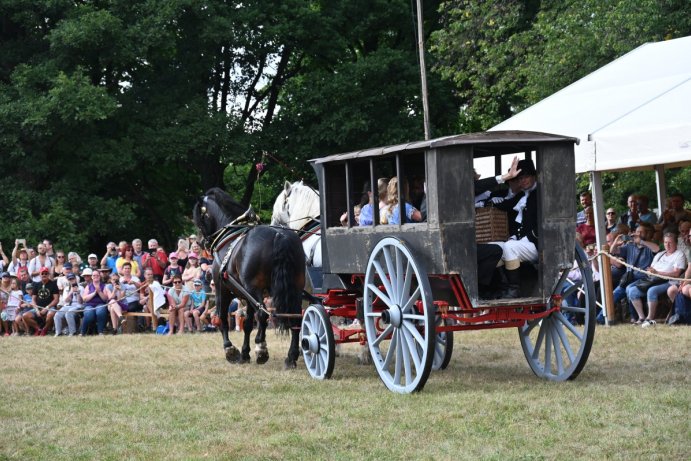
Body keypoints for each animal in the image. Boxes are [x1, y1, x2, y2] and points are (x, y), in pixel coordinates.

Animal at [192, 187, 306, 366]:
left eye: (199, 219)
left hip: (254, 289)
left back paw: (261, 348)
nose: (201, 243)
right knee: (296, 317)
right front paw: (245, 353)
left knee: (263, 314)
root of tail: (279, 235)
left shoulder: (222, 290)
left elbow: (222, 319)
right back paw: (291, 356)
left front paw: (230, 350)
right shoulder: (246, 295)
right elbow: (247, 324)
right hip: (294, 288)